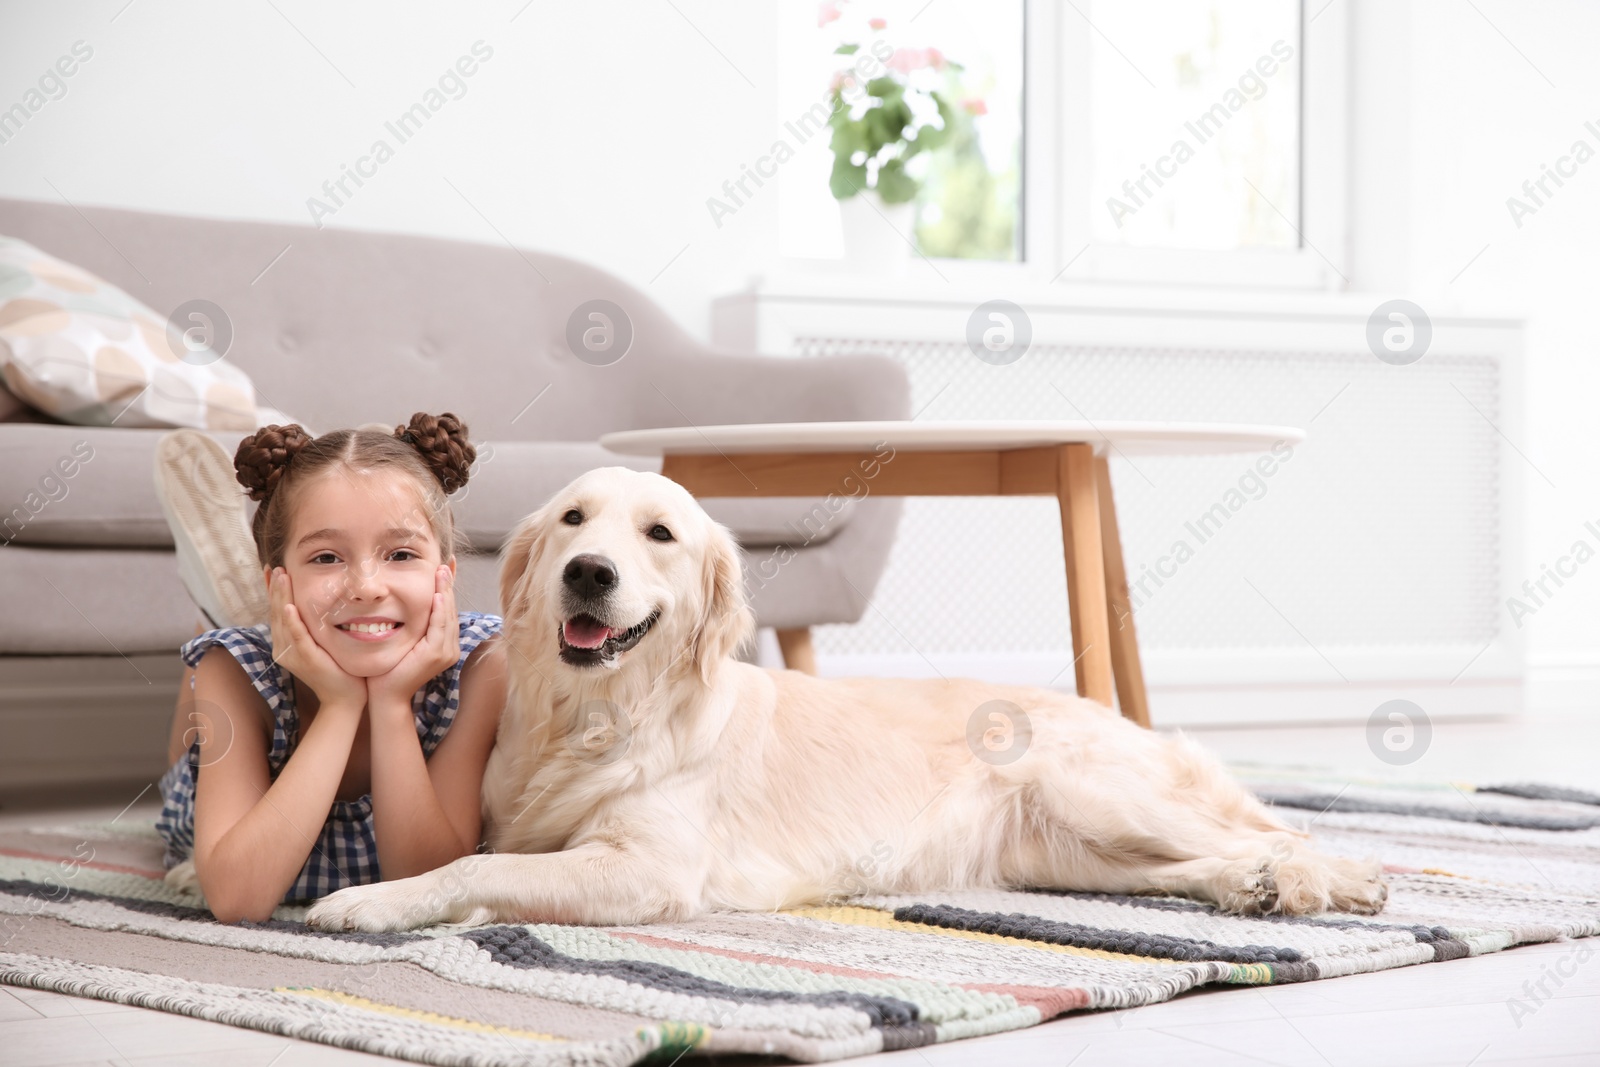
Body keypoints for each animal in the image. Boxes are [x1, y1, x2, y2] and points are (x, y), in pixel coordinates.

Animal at [308, 470, 1388, 934]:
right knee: (1203, 859)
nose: (586, 571)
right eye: (573, 519)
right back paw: (1250, 887)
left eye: (658, 533)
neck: (598, 713)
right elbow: (480, 855)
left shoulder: (648, 867)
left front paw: (367, 899)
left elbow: (470, 867)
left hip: (1094, 792)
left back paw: (1329, 879)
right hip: (1066, 853)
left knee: (1280, 831)